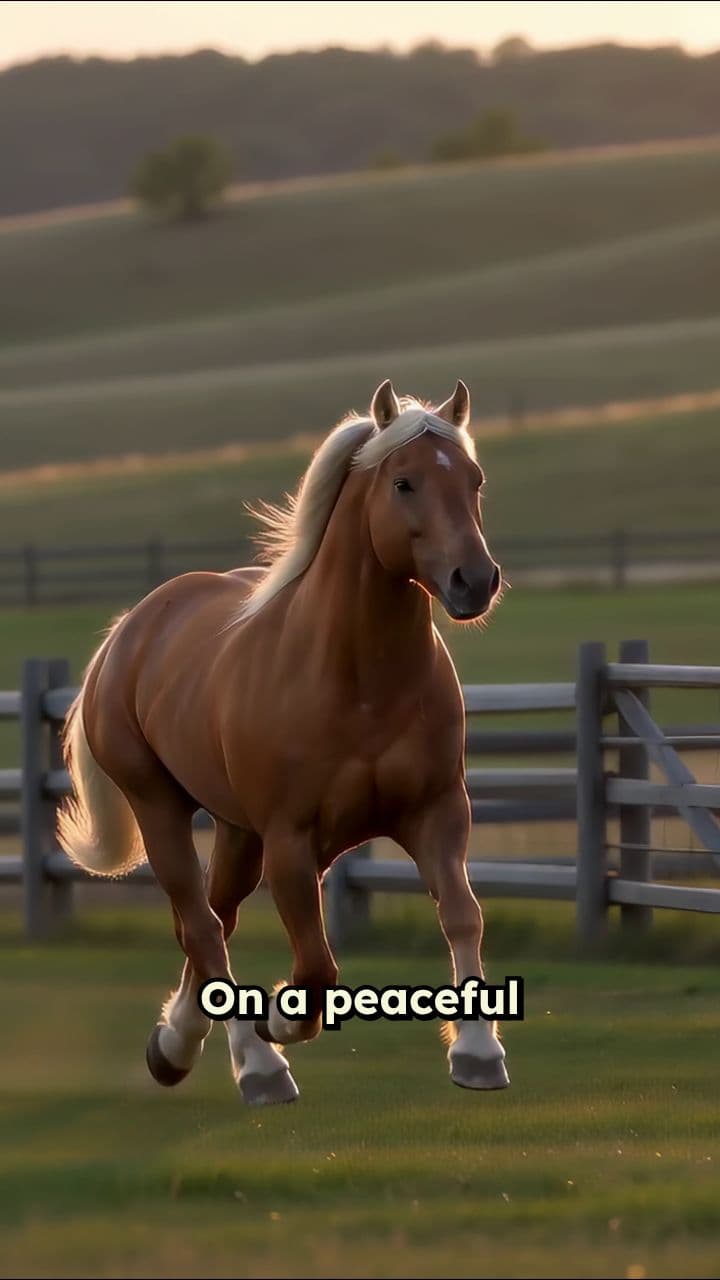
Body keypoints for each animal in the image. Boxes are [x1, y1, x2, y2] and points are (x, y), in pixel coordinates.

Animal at [58, 378, 509, 1105]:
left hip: (238, 833)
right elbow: (317, 968)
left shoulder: (437, 813)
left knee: (210, 922)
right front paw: (276, 1022)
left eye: (474, 479)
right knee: (204, 930)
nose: (475, 580)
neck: (358, 682)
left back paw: (175, 1047)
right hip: (161, 809)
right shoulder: (293, 843)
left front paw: (478, 1053)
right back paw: (257, 1065)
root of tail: (131, 628)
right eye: (404, 482)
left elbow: (463, 916)